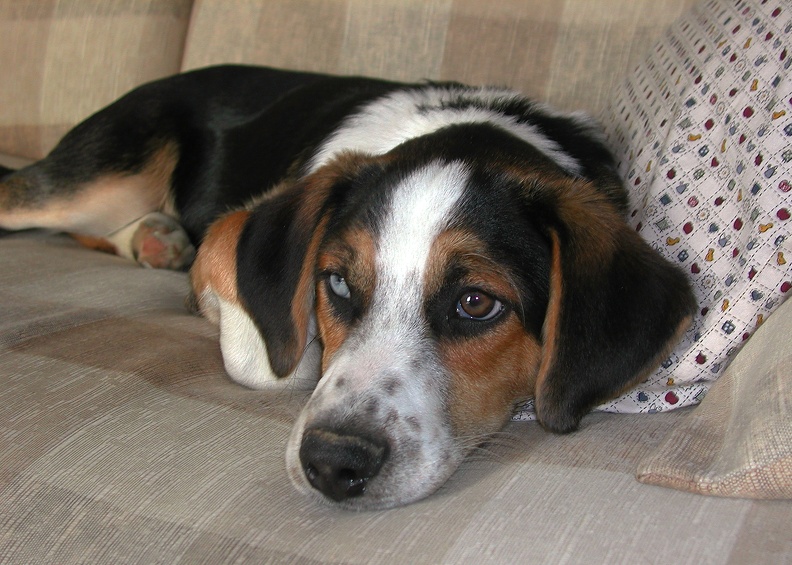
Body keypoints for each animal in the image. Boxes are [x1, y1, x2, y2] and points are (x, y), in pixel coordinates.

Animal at [0, 64, 692, 508]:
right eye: (334, 282)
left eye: (476, 302)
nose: (333, 464)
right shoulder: (232, 228)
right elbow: (273, 363)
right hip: (95, 182)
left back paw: (153, 237)